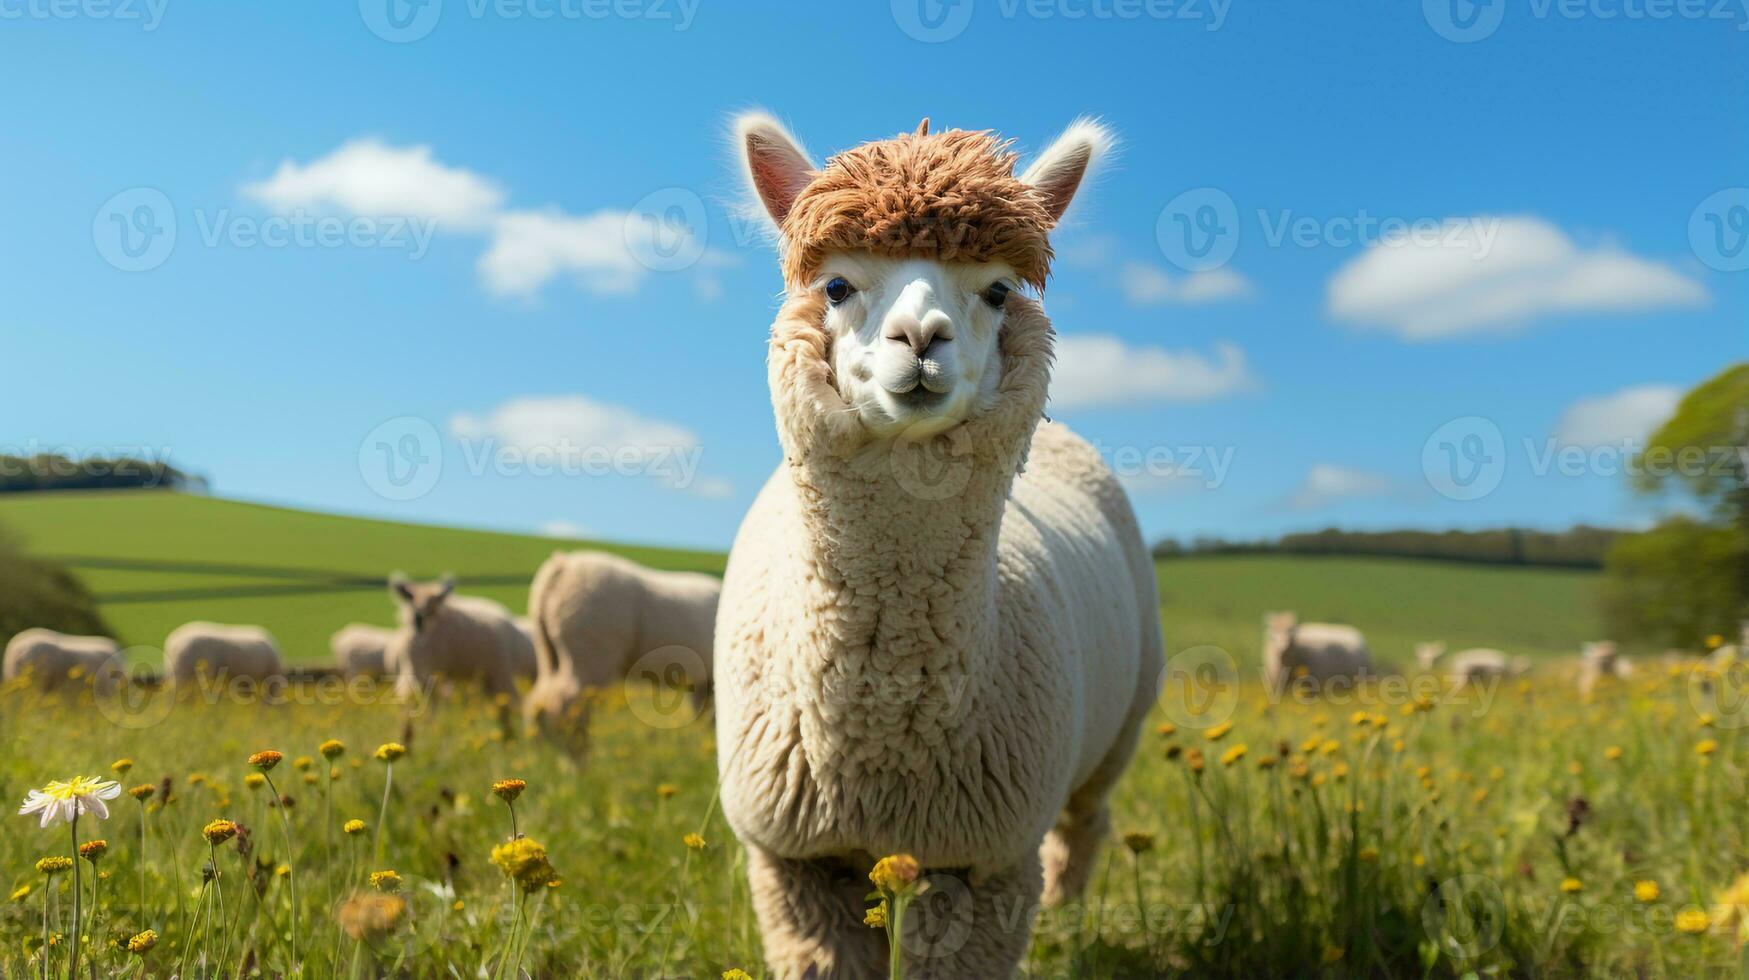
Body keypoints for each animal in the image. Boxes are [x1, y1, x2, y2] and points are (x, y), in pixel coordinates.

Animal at [521, 553, 720, 742]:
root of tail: (562, 565)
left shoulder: (704, 679)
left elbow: (706, 713)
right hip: (591, 652)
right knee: (568, 705)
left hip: (550, 650)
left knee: (541, 700)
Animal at [713, 116, 1161, 980]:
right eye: (836, 287)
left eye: (996, 291)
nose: (920, 338)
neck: (879, 746)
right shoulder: (792, 859)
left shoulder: (983, 860)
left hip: (1118, 725)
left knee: (1085, 821)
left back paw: (1069, 919)